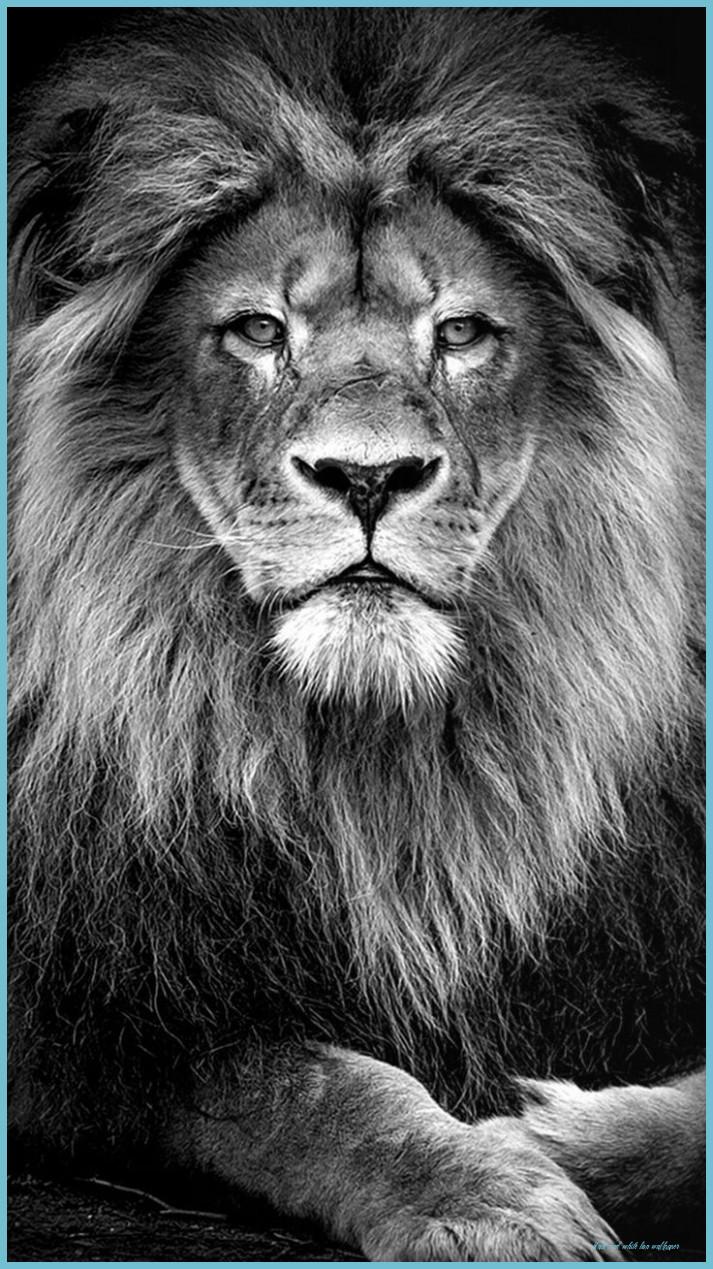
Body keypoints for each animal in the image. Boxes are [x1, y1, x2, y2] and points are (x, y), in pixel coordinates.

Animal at [9, 10, 704, 1262]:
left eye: (463, 333)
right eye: (256, 331)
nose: (368, 475)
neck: (379, 765)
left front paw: (556, 1137)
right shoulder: (95, 1022)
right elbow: (301, 1084)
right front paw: (484, 1187)